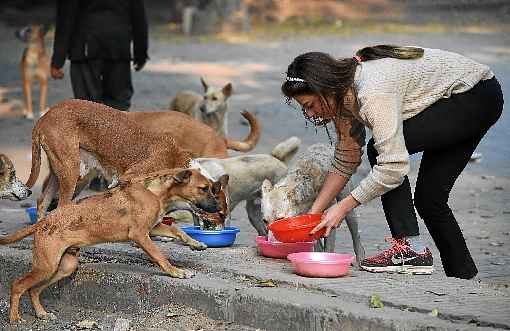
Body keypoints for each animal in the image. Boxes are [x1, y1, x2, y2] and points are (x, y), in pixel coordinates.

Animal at [0, 169, 223, 324]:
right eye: (204, 188)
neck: (155, 193)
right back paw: (15, 318)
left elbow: (178, 230)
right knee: (18, 285)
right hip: (46, 266)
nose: (220, 209)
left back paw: (41, 313)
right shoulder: (140, 235)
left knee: (34, 290)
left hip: (64, 266)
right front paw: (176, 272)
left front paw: (196, 243)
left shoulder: (154, 228)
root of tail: (44, 221)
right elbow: (160, 255)